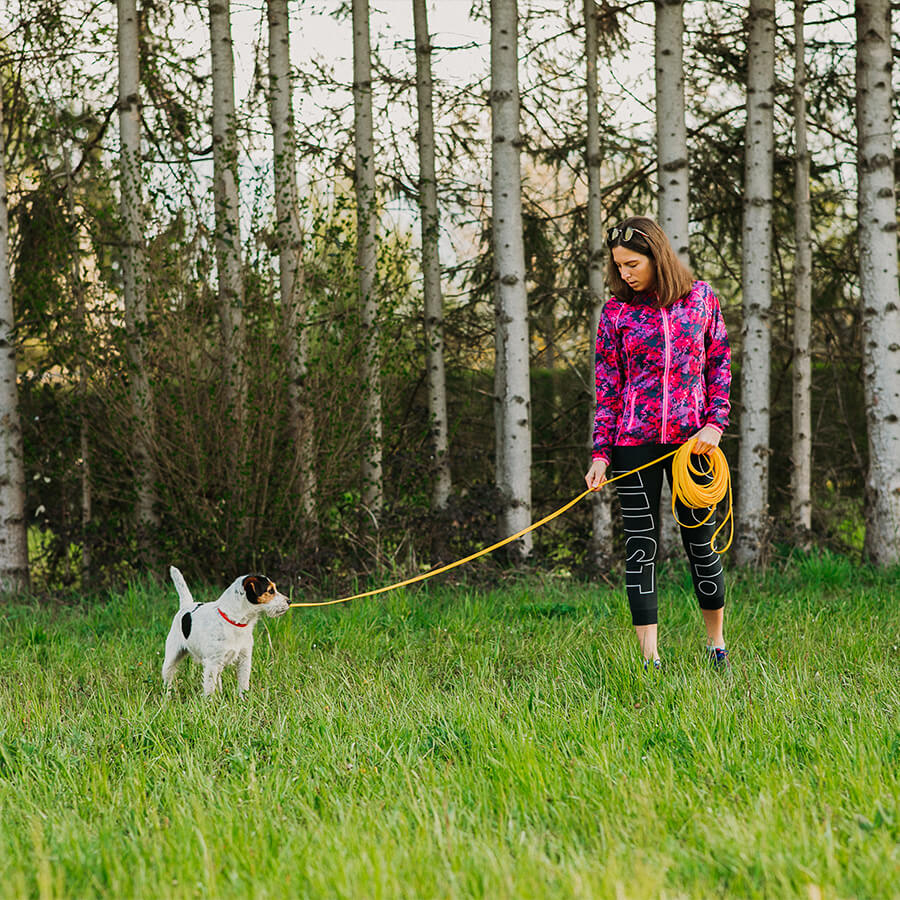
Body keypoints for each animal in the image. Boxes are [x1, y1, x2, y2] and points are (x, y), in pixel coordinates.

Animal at [160, 564, 288, 696]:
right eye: (270, 590)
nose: (289, 601)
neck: (234, 621)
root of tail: (186, 606)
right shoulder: (212, 662)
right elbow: (209, 688)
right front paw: (210, 701)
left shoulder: (244, 659)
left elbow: (243, 684)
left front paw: (243, 699)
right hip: (171, 659)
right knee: (168, 681)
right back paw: (167, 697)